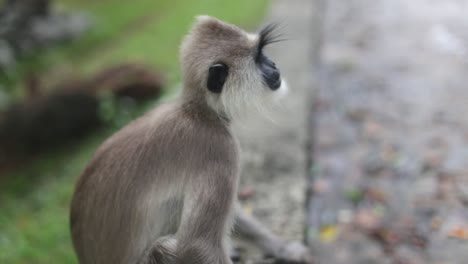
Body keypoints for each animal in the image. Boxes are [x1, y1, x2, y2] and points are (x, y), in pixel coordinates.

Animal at [71, 15, 312, 262]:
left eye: (263, 55)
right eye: (257, 58)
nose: (273, 65)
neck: (199, 112)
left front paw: (283, 248)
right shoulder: (219, 147)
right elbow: (197, 245)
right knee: (161, 246)